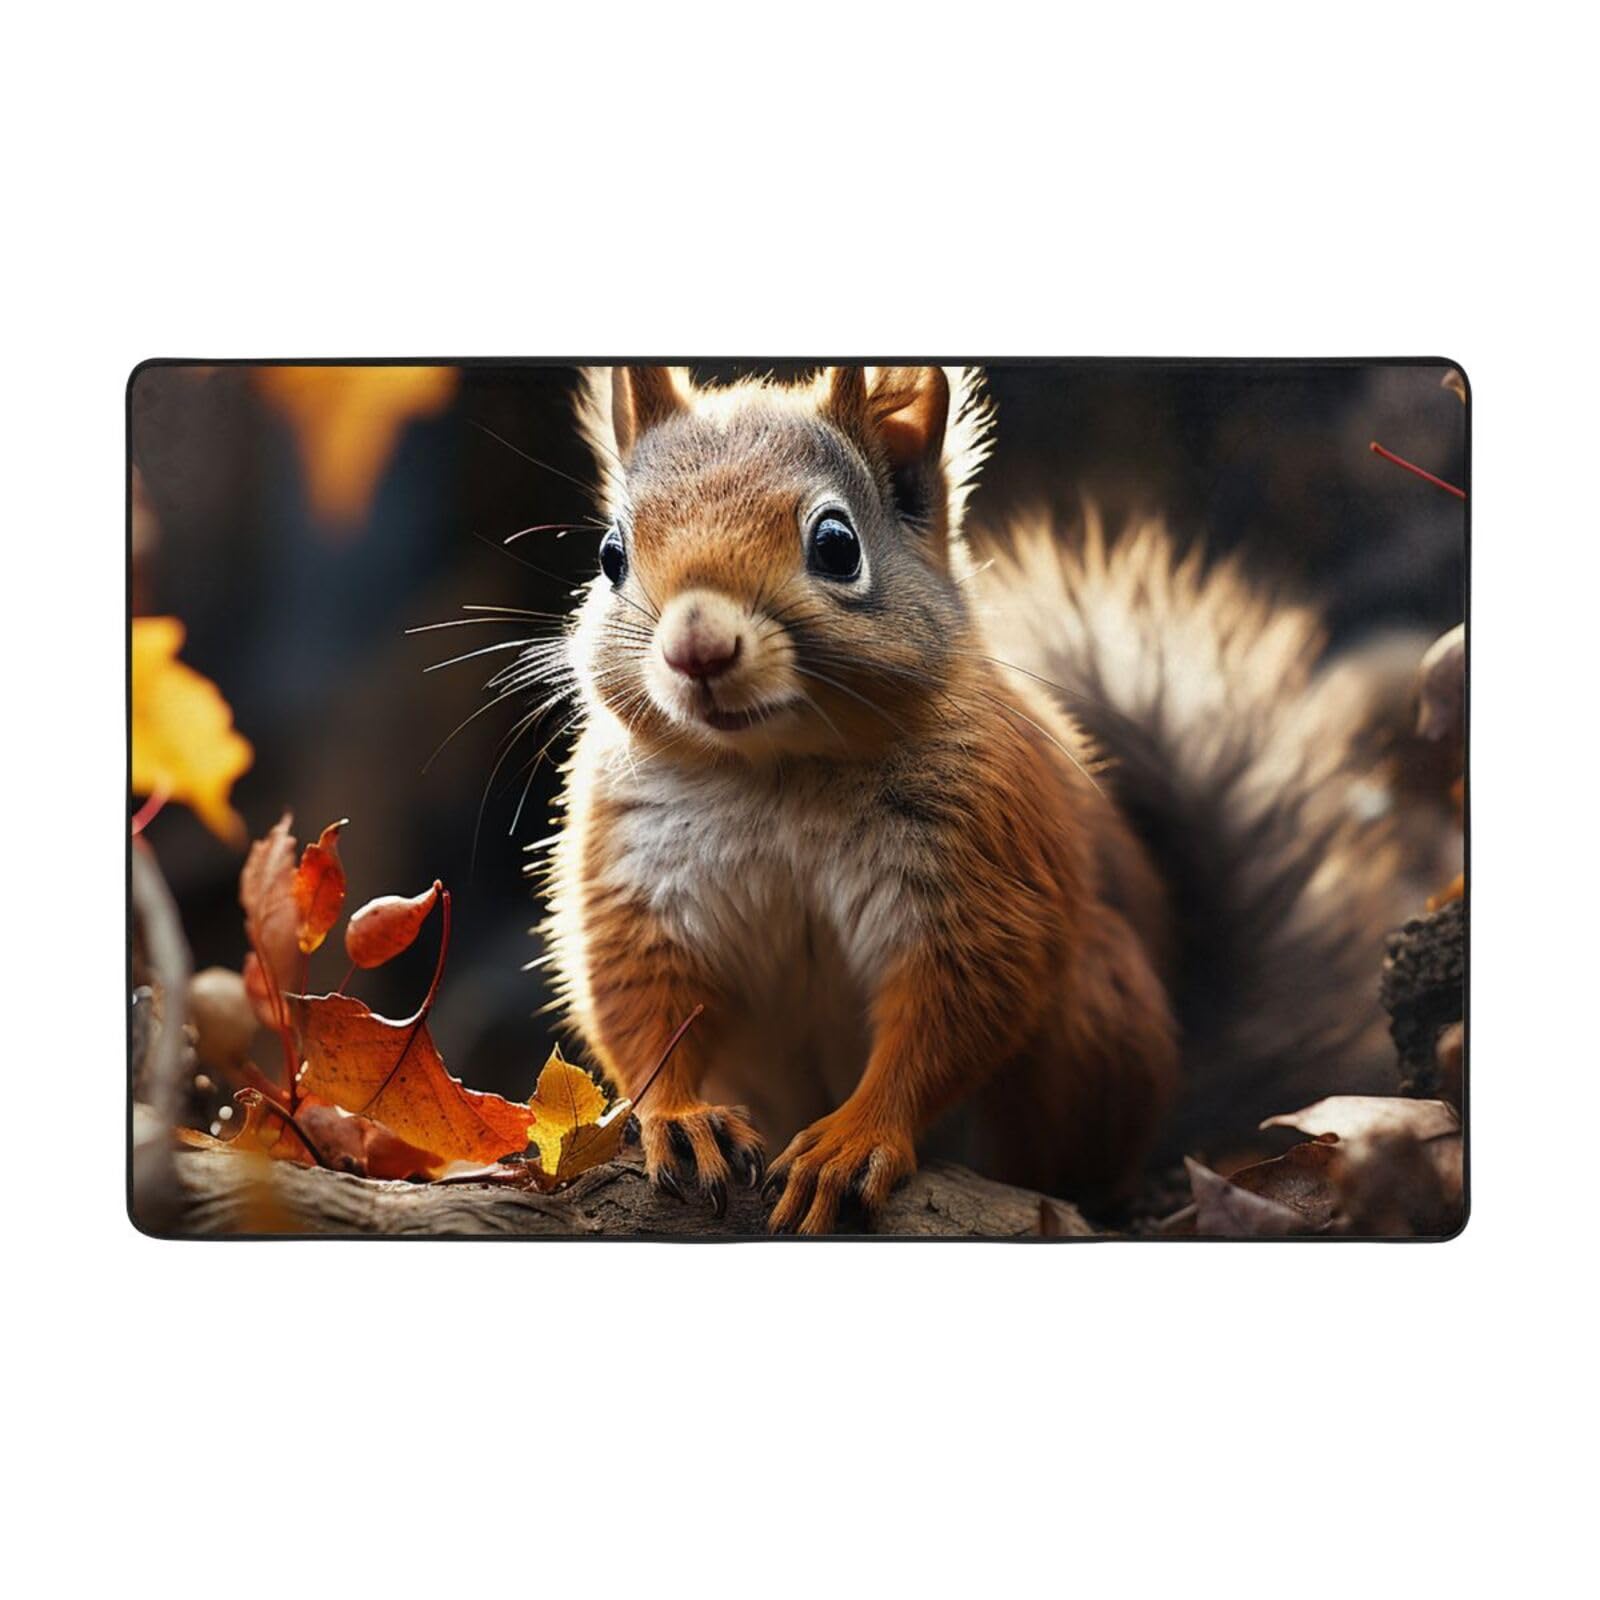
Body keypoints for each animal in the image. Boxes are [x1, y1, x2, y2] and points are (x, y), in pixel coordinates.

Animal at [535, 365, 1400, 1233]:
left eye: (837, 546)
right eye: (611, 554)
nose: (697, 650)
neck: (777, 770)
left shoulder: (980, 859)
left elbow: (954, 1006)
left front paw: (853, 1139)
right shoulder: (636, 871)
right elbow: (641, 1002)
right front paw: (679, 1119)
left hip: (1096, 1016)